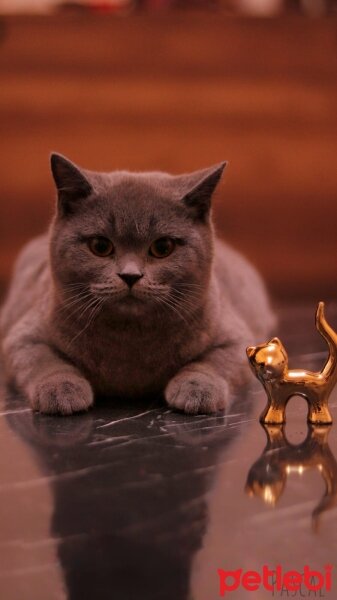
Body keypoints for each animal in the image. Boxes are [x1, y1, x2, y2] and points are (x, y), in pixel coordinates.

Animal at [0, 155, 272, 414]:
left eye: (163, 247)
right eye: (100, 246)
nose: (130, 275)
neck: (129, 341)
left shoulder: (235, 337)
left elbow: (212, 362)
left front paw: (198, 390)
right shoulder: (21, 337)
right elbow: (44, 361)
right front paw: (60, 390)